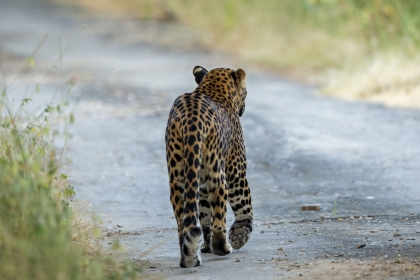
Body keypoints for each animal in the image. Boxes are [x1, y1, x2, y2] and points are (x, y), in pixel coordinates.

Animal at [166, 66, 253, 268]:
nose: (244, 107)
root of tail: (191, 120)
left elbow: (204, 212)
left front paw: (205, 245)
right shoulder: (236, 169)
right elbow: (244, 204)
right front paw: (240, 234)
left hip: (177, 174)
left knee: (183, 219)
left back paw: (189, 256)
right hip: (217, 171)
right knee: (220, 212)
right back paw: (222, 247)